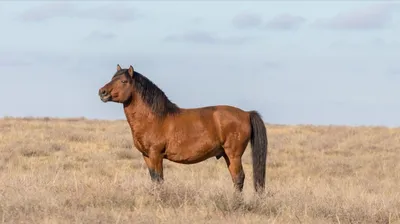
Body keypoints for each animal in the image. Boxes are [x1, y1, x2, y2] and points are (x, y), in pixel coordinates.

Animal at [98, 64, 268, 193]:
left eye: (124, 81)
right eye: (112, 78)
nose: (102, 92)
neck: (155, 118)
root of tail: (246, 113)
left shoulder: (156, 155)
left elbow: (159, 180)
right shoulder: (146, 156)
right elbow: (154, 179)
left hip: (234, 155)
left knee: (239, 178)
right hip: (227, 155)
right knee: (235, 178)